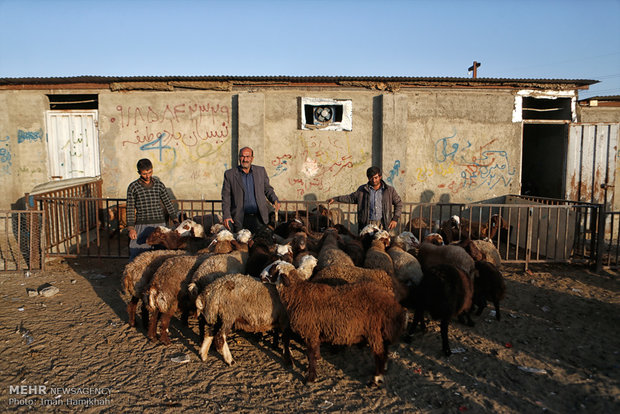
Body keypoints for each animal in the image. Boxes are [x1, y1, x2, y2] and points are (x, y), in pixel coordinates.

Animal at [260, 258, 406, 386]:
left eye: (273, 269)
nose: (261, 275)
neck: (298, 293)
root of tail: (393, 304)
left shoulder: (310, 330)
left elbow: (310, 355)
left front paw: (310, 378)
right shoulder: (315, 331)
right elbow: (314, 351)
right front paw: (316, 361)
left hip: (374, 332)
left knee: (379, 354)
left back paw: (376, 378)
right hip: (381, 331)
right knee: (384, 350)